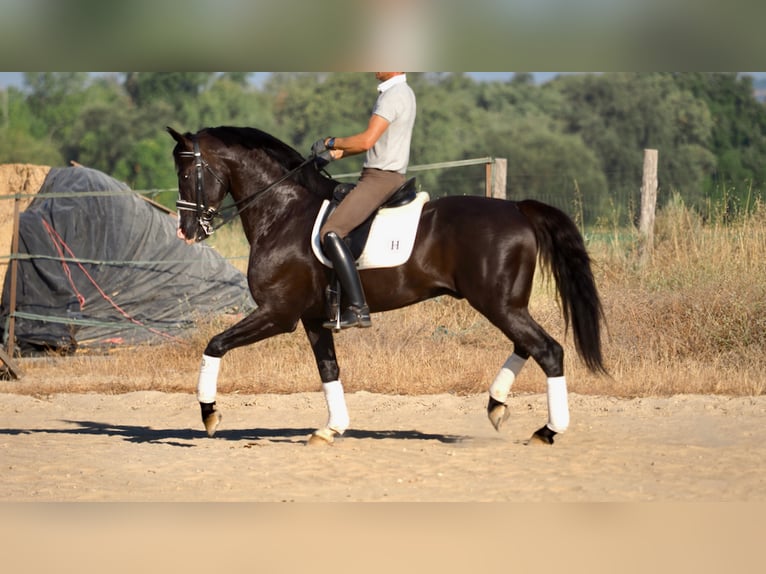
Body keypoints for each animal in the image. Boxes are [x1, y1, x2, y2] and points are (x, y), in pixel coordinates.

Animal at [168, 126, 608, 448]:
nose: (187, 231)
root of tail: (517, 208)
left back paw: (547, 431)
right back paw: (497, 405)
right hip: (507, 304)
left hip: (498, 304)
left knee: (548, 350)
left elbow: (215, 345)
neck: (283, 212)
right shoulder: (312, 319)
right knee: (527, 346)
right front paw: (331, 428)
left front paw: (209, 415)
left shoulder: (278, 314)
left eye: (186, 174)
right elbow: (329, 370)